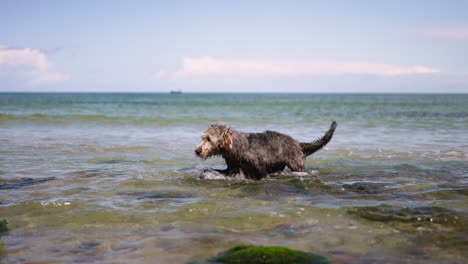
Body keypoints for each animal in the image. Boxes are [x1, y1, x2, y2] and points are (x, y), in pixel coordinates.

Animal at [195, 121, 336, 179]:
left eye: (208, 139)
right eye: (203, 137)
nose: (197, 151)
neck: (235, 147)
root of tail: (297, 143)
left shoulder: (260, 169)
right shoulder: (232, 166)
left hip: (296, 164)